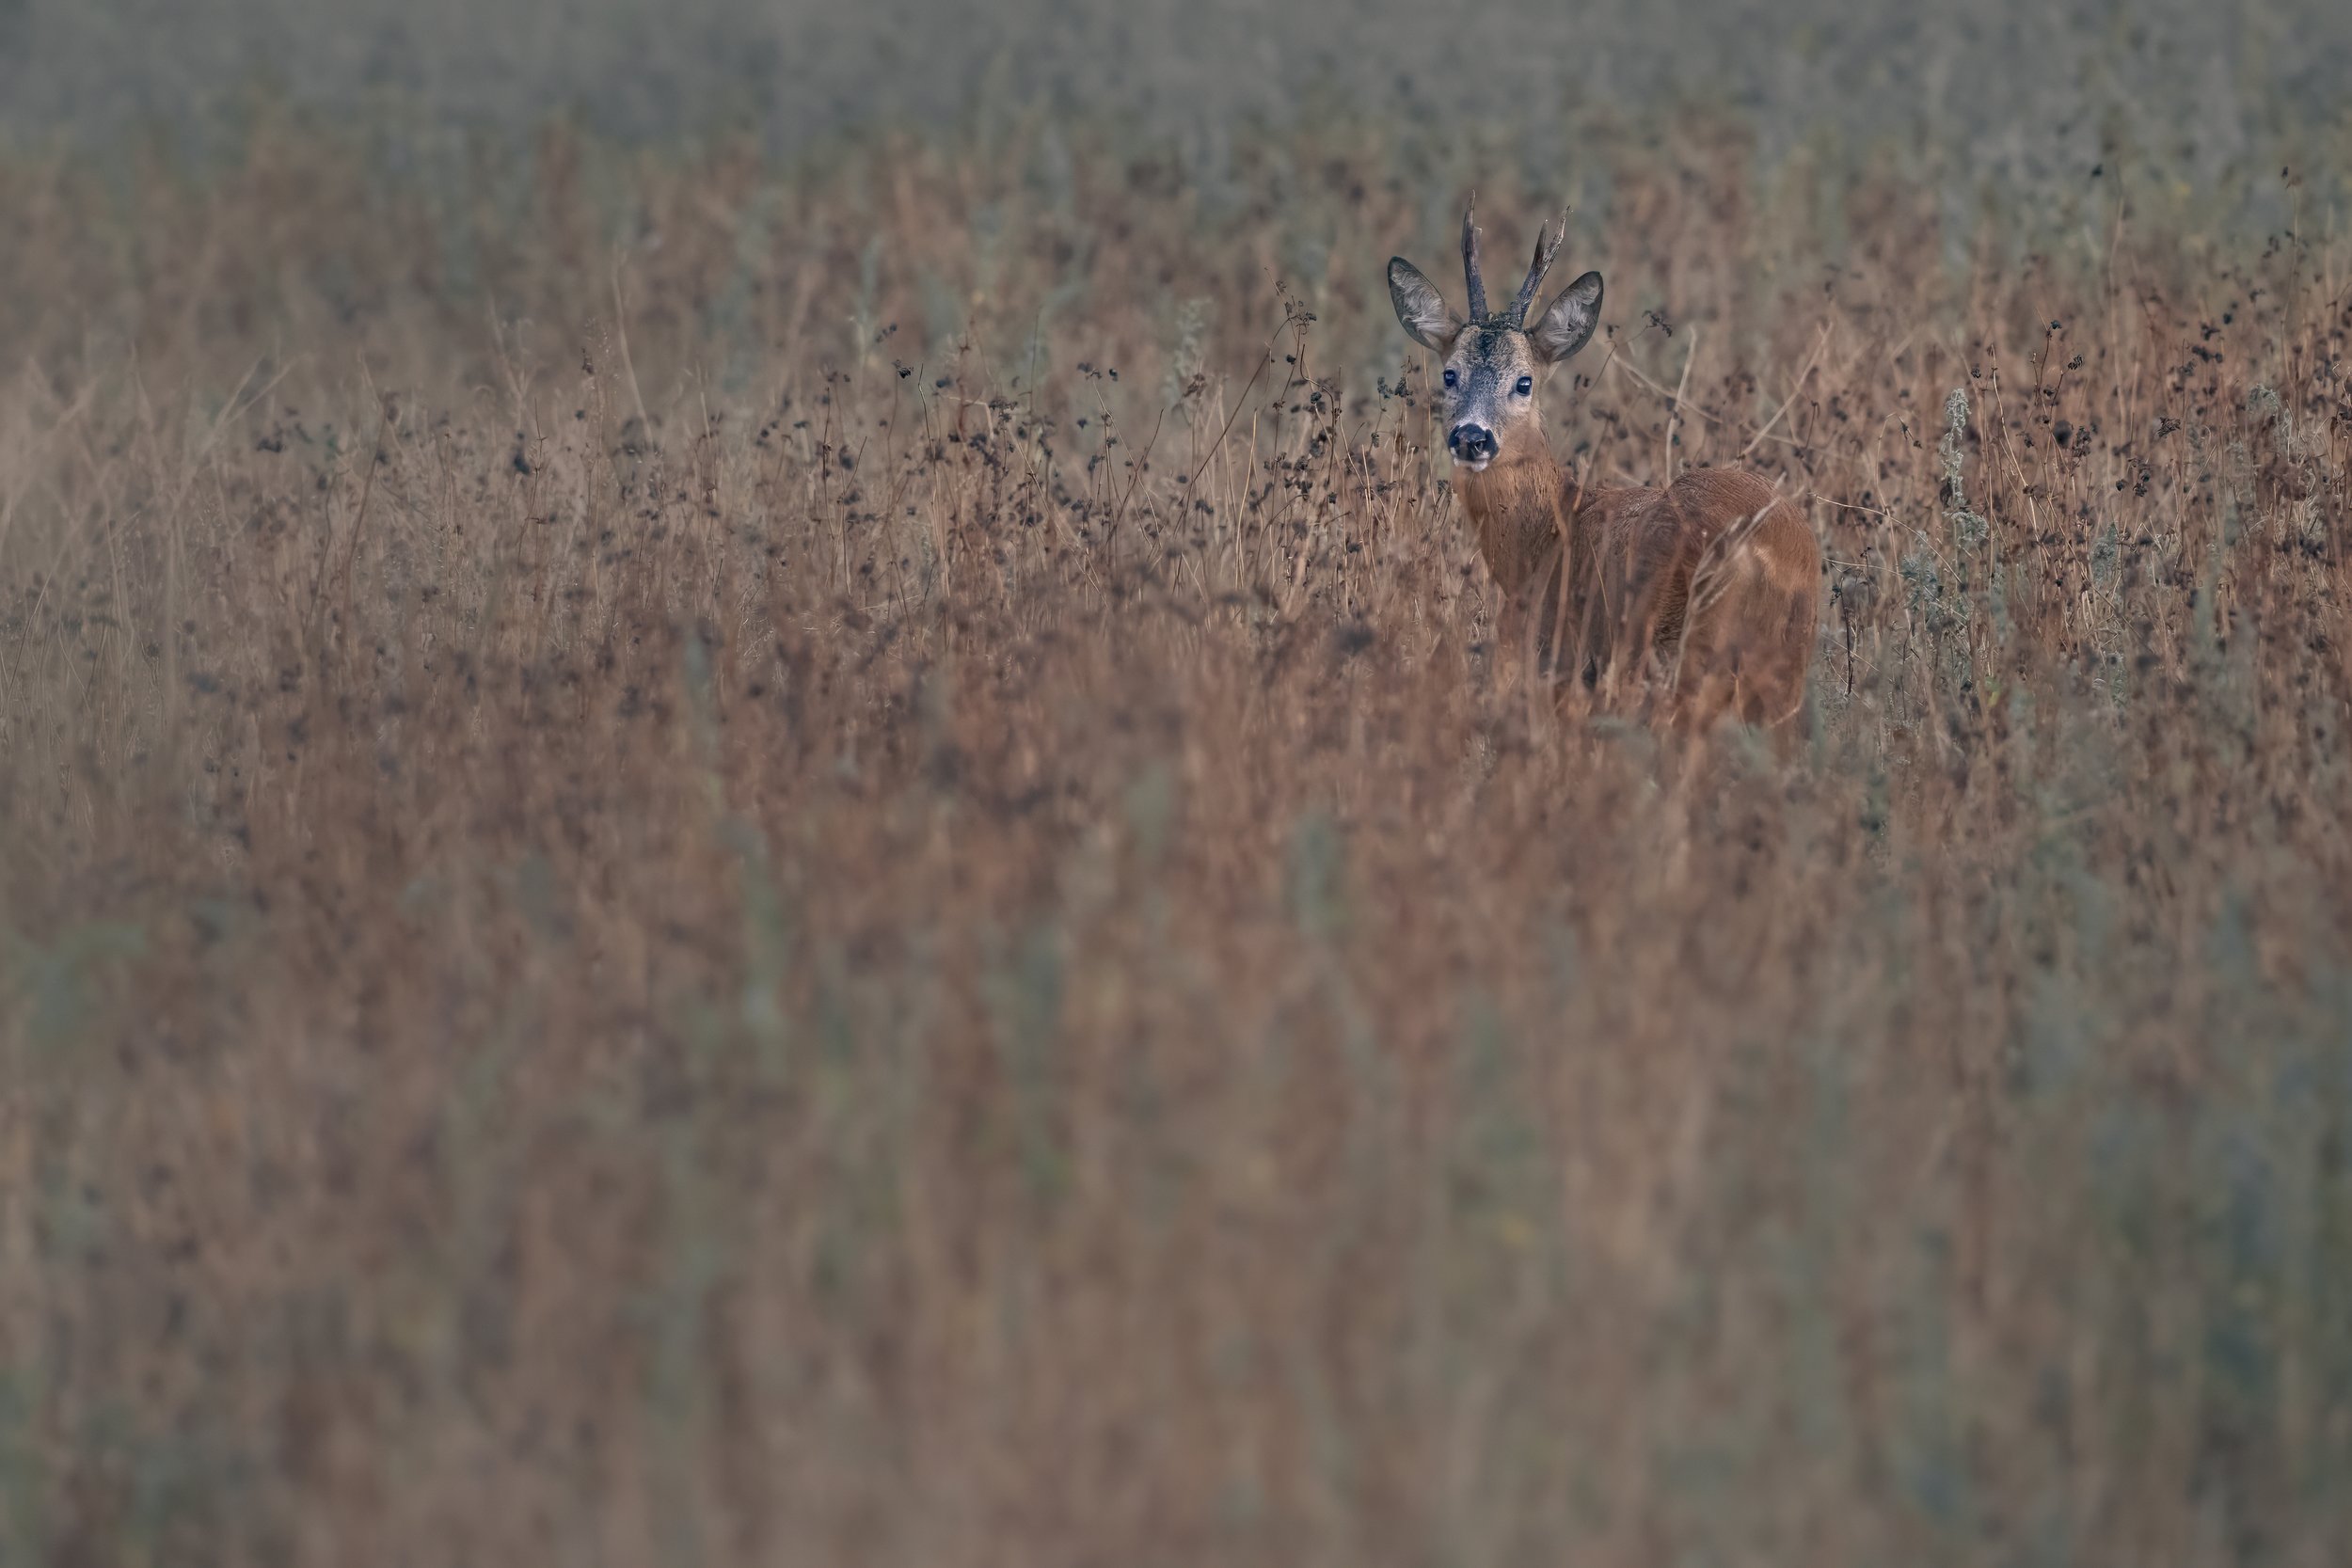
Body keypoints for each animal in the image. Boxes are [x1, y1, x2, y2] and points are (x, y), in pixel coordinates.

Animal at [1388, 202, 1820, 730]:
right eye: (1450, 374)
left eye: (1524, 382)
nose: (1472, 437)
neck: (1545, 537)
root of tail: (1762, 549)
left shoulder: (1560, 666)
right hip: (1784, 675)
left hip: (1670, 654)